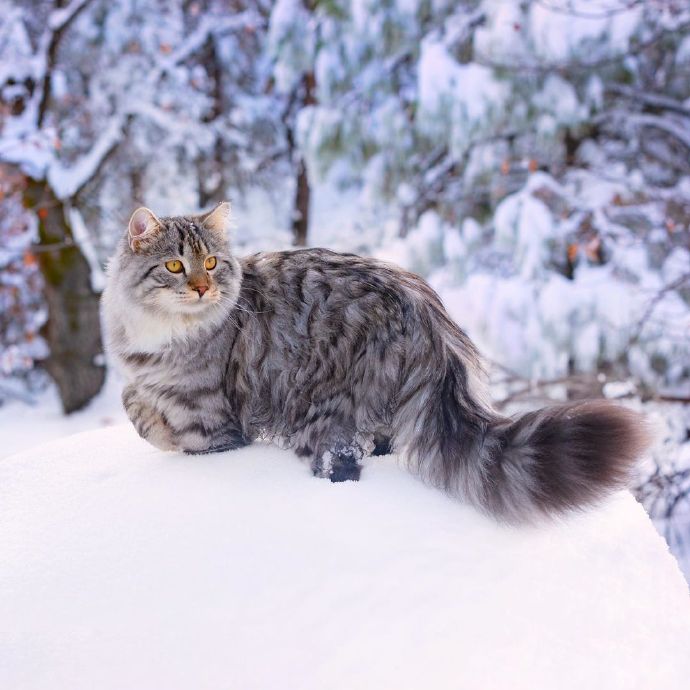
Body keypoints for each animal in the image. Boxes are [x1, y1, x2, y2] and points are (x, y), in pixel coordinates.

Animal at [99, 202, 648, 520]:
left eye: (211, 263)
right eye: (175, 265)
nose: (201, 287)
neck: (158, 332)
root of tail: (429, 317)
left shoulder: (209, 424)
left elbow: (155, 423)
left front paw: (149, 421)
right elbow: (132, 398)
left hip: (320, 412)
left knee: (343, 467)